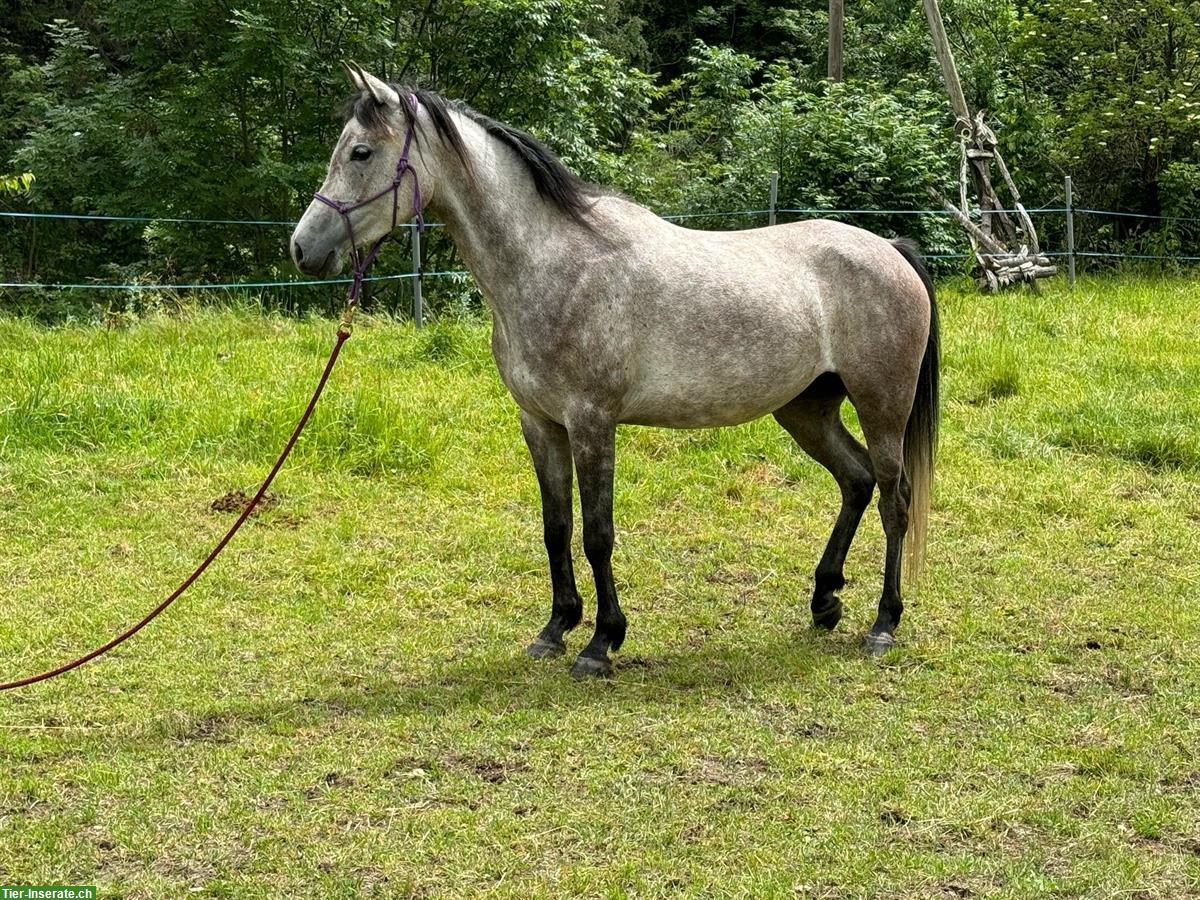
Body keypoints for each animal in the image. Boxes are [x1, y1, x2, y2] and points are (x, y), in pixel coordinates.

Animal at [288, 63, 936, 681]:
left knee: (894, 497)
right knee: (856, 480)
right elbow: (555, 527)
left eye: (361, 152)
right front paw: (555, 629)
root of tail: (890, 249)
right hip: (805, 410)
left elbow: (597, 533)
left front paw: (601, 643)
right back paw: (824, 601)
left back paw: (884, 623)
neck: (554, 265)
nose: (301, 248)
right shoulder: (540, 423)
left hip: (882, 405)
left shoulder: (592, 423)